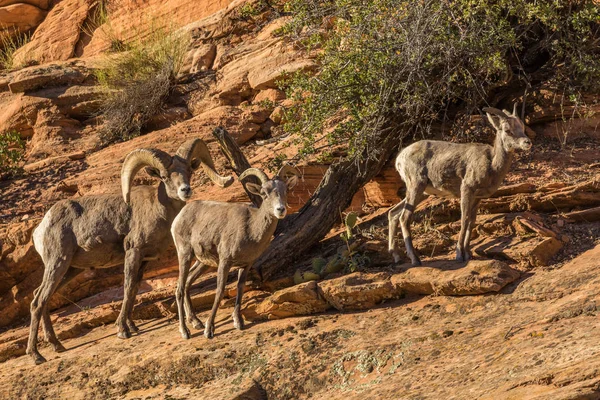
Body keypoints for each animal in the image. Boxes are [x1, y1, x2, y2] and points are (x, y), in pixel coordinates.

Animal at [28, 139, 234, 364]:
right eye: (164, 176)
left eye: (189, 170)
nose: (185, 190)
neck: (159, 210)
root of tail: (40, 229)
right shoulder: (133, 252)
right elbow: (127, 288)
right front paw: (122, 331)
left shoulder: (145, 260)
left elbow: (134, 289)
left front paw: (132, 326)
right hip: (58, 263)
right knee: (38, 301)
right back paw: (36, 355)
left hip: (69, 270)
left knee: (42, 297)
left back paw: (57, 345)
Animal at [171, 164, 300, 340]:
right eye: (264, 194)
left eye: (285, 190)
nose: (280, 210)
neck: (251, 228)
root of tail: (179, 216)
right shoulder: (225, 262)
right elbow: (219, 291)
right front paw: (209, 330)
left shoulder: (245, 265)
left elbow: (240, 289)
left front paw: (238, 322)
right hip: (185, 254)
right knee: (179, 288)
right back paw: (185, 331)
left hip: (203, 262)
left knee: (188, 282)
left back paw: (196, 322)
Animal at [386, 104, 532, 266]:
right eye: (507, 130)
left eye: (522, 127)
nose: (527, 142)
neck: (492, 165)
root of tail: (400, 158)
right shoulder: (466, 190)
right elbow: (464, 220)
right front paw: (459, 255)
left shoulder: (477, 198)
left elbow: (471, 222)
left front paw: (468, 254)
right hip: (416, 186)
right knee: (404, 218)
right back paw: (415, 260)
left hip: (421, 193)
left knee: (393, 213)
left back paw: (397, 257)